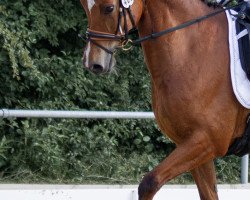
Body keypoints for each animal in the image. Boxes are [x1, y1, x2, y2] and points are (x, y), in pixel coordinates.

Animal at [80, 0, 250, 199]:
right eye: (84, 7)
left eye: (109, 8)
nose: (92, 63)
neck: (190, 52)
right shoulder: (192, 144)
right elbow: (208, 193)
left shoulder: (209, 140)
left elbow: (149, 182)